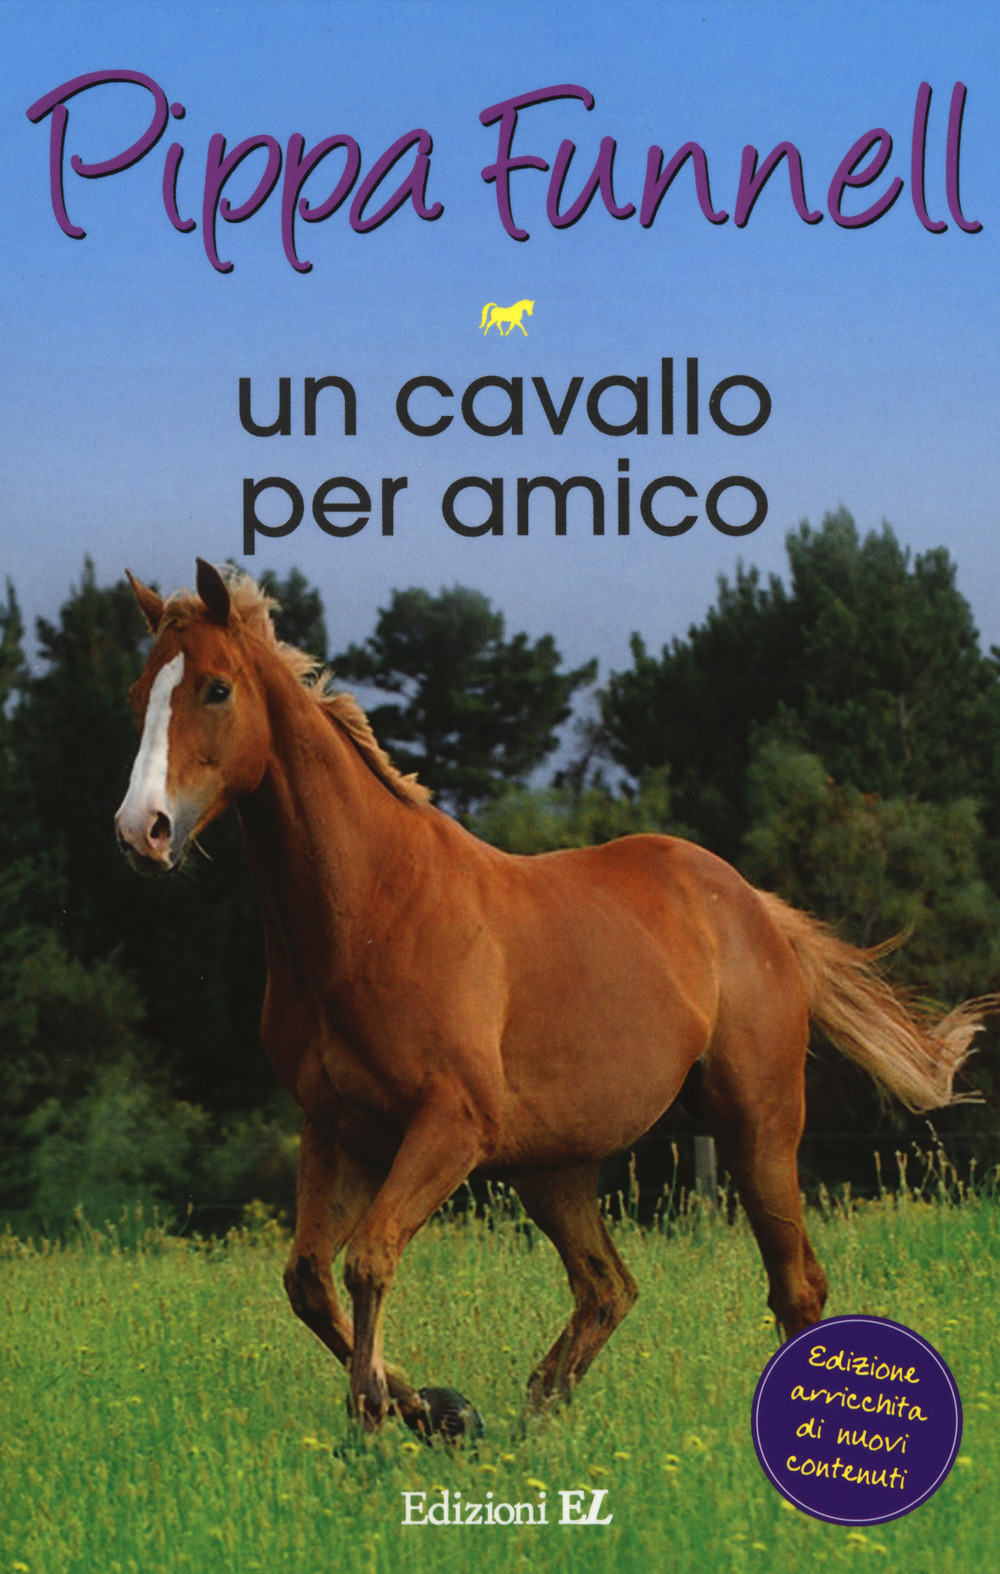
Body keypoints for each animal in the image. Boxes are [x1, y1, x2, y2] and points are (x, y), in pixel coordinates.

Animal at [115, 560, 989, 1436]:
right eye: (138, 692)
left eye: (217, 689)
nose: (141, 830)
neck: (370, 910)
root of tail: (752, 907)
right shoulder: (339, 1128)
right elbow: (308, 1279)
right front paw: (430, 1409)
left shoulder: (450, 1125)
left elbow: (368, 1259)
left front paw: (390, 1416)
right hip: (553, 1165)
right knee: (608, 1287)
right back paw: (534, 1419)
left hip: (758, 1126)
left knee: (793, 1286)